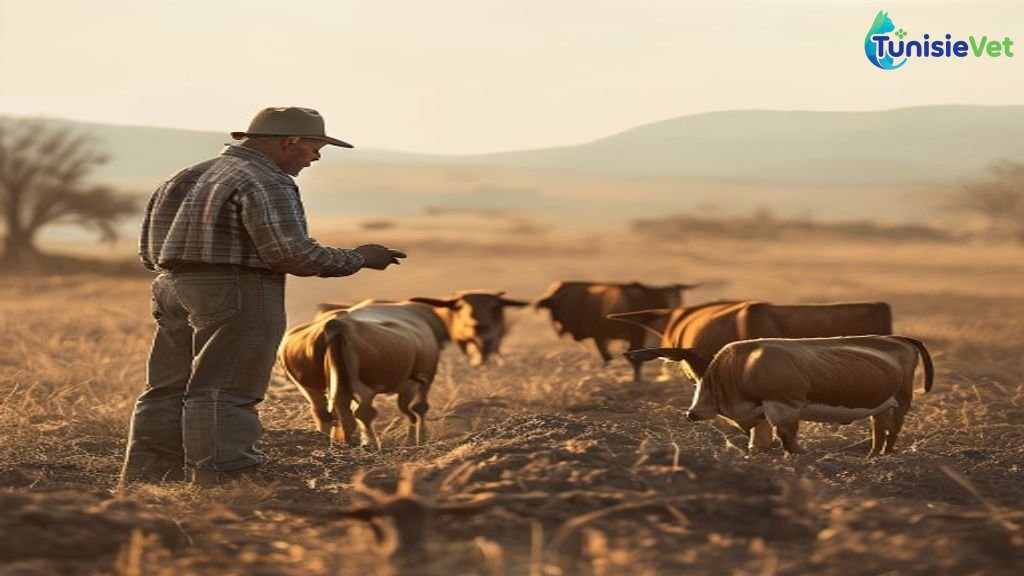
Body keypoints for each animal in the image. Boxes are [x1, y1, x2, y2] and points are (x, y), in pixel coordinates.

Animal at [277, 299, 450, 449]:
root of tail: (337, 324)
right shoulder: (420, 379)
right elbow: (418, 408)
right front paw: (419, 439)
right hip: (362, 385)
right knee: (363, 413)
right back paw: (371, 444)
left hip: (311, 387)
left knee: (329, 413)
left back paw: (337, 442)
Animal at [625, 335, 933, 457]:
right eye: (695, 380)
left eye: (704, 381)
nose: (692, 413)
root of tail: (899, 338)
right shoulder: (757, 414)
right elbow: (758, 441)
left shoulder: (784, 406)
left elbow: (787, 438)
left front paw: (803, 457)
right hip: (882, 405)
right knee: (879, 429)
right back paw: (872, 456)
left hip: (902, 401)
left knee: (892, 431)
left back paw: (887, 456)